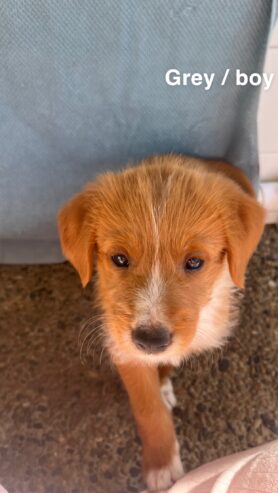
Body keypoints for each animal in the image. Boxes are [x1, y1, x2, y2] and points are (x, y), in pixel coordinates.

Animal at [57, 153, 264, 488]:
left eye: (195, 262)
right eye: (119, 259)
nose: (150, 340)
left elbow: (170, 359)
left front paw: (164, 382)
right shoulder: (123, 345)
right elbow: (148, 409)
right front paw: (162, 464)